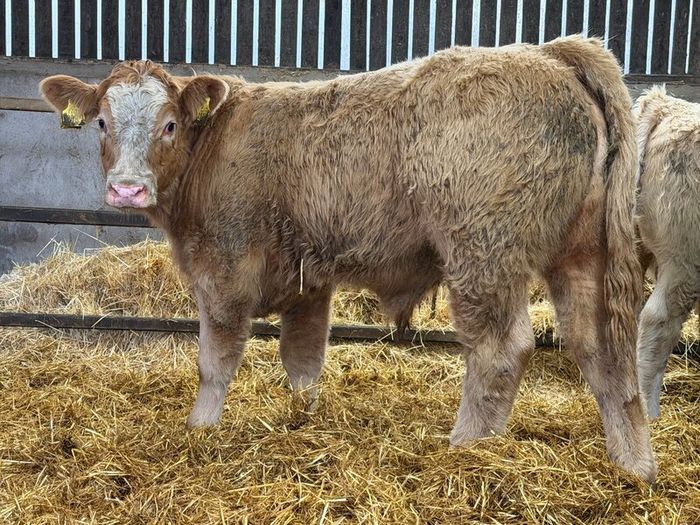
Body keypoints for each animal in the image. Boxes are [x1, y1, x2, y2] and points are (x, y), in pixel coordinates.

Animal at [39, 35, 656, 482]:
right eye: (102, 122)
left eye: (169, 124)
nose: (127, 190)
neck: (213, 146)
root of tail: (551, 52)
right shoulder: (308, 282)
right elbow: (303, 360)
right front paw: (301, 420)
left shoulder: (225, 270)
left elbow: (215, 362)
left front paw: (200, 430)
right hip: (581, 255)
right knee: (602, 351)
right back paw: (633, 469)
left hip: (484, 254)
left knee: (502, 350)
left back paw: (463, 451)